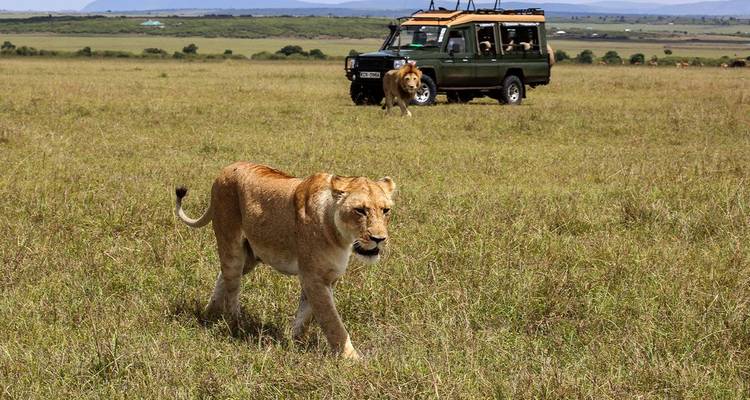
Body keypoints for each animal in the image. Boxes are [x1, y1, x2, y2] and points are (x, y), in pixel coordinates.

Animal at [174, 162, 396, 360]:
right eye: (360, 210)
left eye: (385, 211)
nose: (379, 239)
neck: (340, 235)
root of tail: (226, 169)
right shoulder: (314, 277)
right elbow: (332, 321)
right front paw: (352, 360)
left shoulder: (326, 278)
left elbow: (306, 314)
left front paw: (294, 342)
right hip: (231, 243)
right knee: (232, 286)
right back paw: (236, 324)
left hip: (250, 256)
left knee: (224, 277)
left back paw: (209, 313)